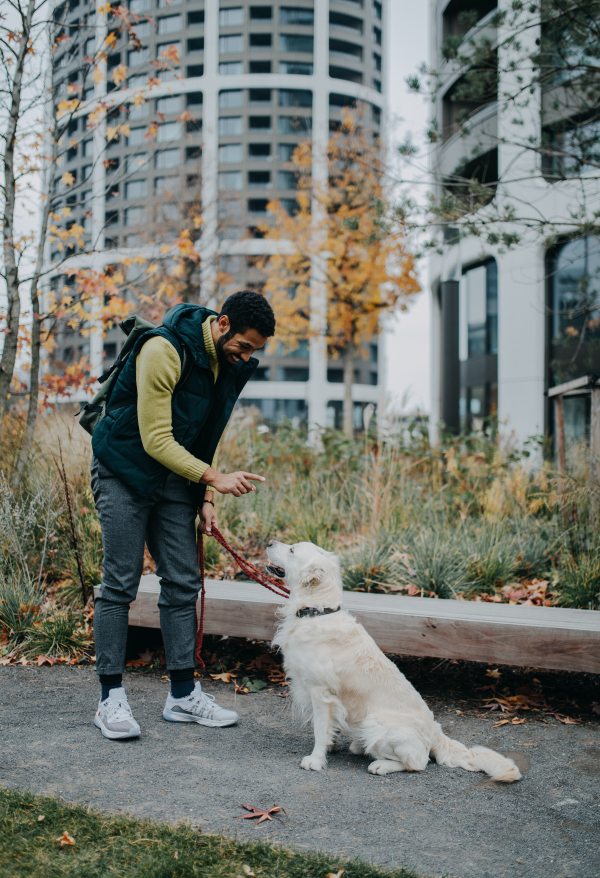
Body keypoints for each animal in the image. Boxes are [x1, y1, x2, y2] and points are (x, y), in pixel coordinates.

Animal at [268, 544, 520, 784]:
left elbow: (320, 730)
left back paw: (381, 765)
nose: (269, 542)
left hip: (376, 723)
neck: (318, 611)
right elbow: (329, 728)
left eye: (292, 550)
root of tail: (435, 732)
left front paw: (316, 760)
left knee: (417, 762)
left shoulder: (321, 693)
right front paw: (330, 747)